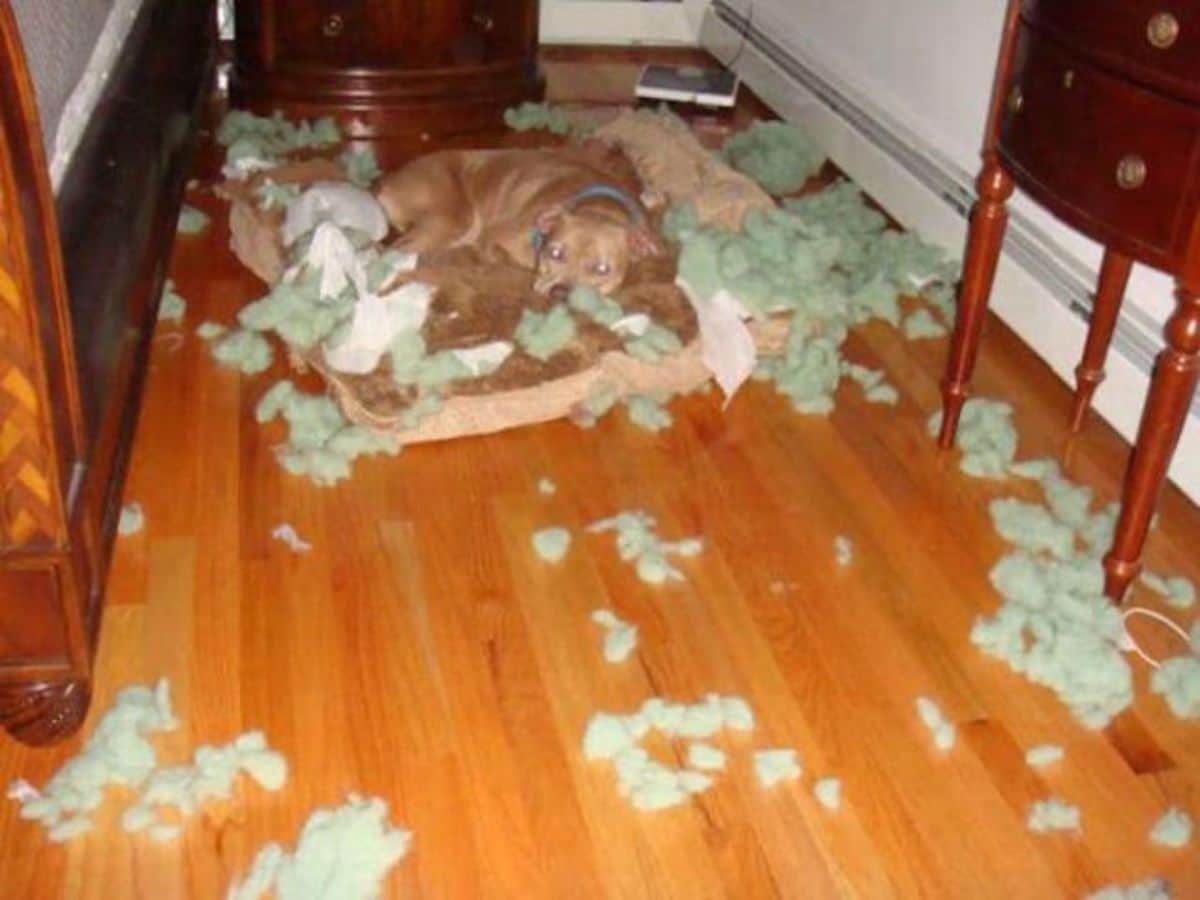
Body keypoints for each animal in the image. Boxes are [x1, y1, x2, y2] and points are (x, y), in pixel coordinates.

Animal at [374, 150, 662, 294]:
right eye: (555, 253)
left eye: (602, 269)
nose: (559, 293)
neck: (598, 205)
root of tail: (388, 179)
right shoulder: (495, 238)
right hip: (452, 220)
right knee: (391, 252)